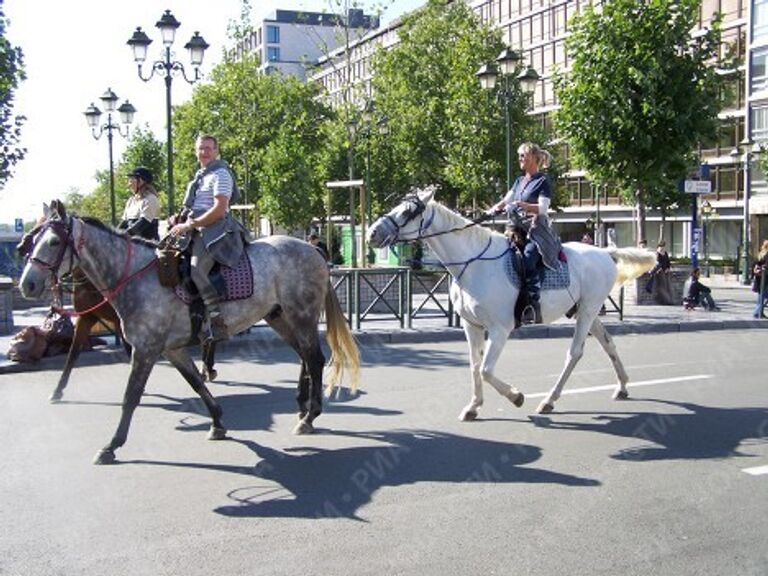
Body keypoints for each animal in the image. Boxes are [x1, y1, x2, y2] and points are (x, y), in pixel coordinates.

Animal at [368, 189, 656, 418]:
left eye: (408, 211)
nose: (372, 232)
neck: (474, 263)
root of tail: (605, 252)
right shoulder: (471, 325)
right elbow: (475, 366)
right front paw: (473, 406)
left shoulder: (500, 328)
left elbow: (486, 370)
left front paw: (516, 396)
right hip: (585, 311)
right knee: (608, 342)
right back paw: (622, 386)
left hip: (587, 310)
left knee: (575, 353)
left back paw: (549, 400)